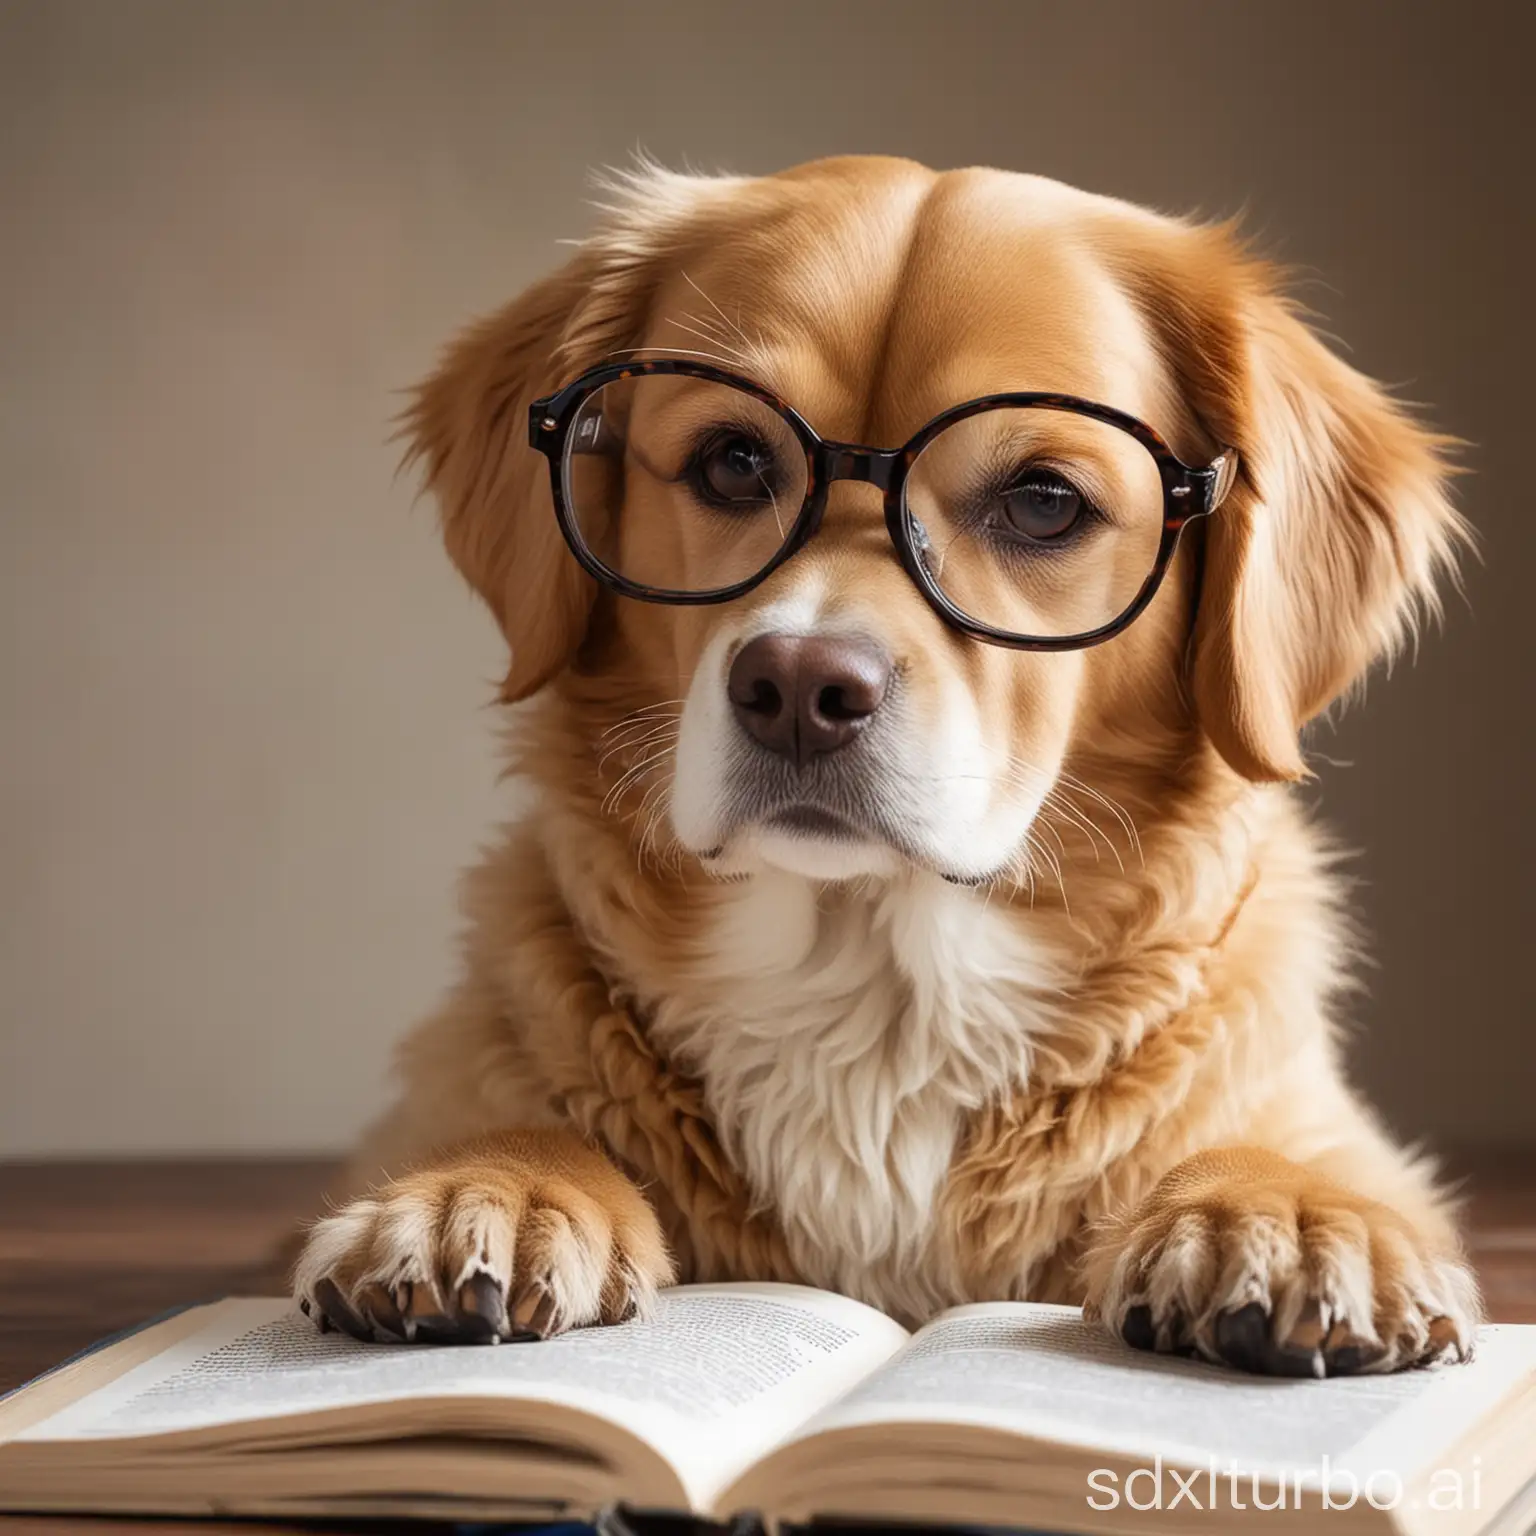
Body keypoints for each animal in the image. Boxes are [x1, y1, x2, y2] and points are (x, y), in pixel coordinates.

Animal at [288, 155, 1474, 1382]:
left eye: (1044, 500)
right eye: (733, 460)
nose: (799, 688)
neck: (870, 983)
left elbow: (1267, 1150)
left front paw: (1280, 1210)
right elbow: (525, 1123)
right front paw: (488, 1187)